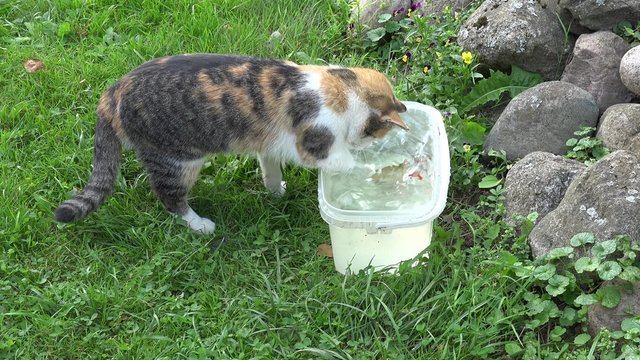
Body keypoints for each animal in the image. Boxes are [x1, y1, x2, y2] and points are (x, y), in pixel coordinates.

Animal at [53, 53, 404, 233]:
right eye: (375, 135)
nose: (363, 146)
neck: (341, 87)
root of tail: (112, 92)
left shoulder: (270, 143)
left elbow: (270, 168)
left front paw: (276, 191)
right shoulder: (317, 143)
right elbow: (346, 161)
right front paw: (382, 170)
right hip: (176, 160)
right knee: (168, 197)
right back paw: (199, 224)